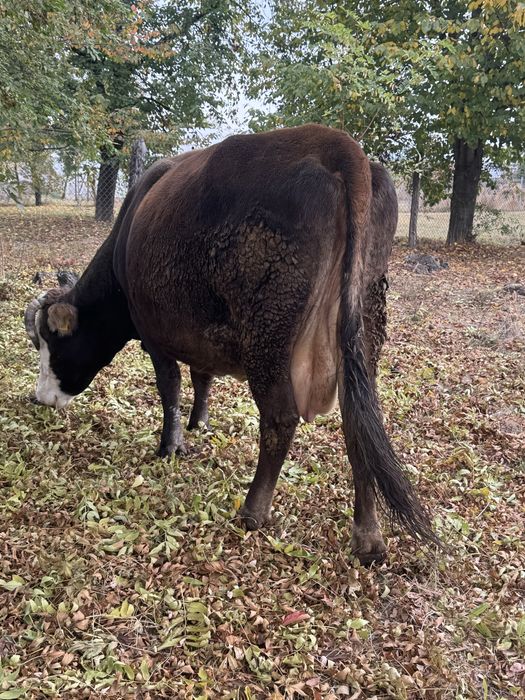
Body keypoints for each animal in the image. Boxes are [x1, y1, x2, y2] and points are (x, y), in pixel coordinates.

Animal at [24, 124, 437, 563]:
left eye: (50, 344)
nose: (39, 397)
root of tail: (334, 143)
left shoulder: (155, 335)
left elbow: (170, 388)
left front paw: (171, 445)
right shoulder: (199, 333)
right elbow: (201, 377)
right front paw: (199, 422)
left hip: (268, 336)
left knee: (280, 418)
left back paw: (253, 510)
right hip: (363, 322)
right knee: (359, 420)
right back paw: (368, 535)